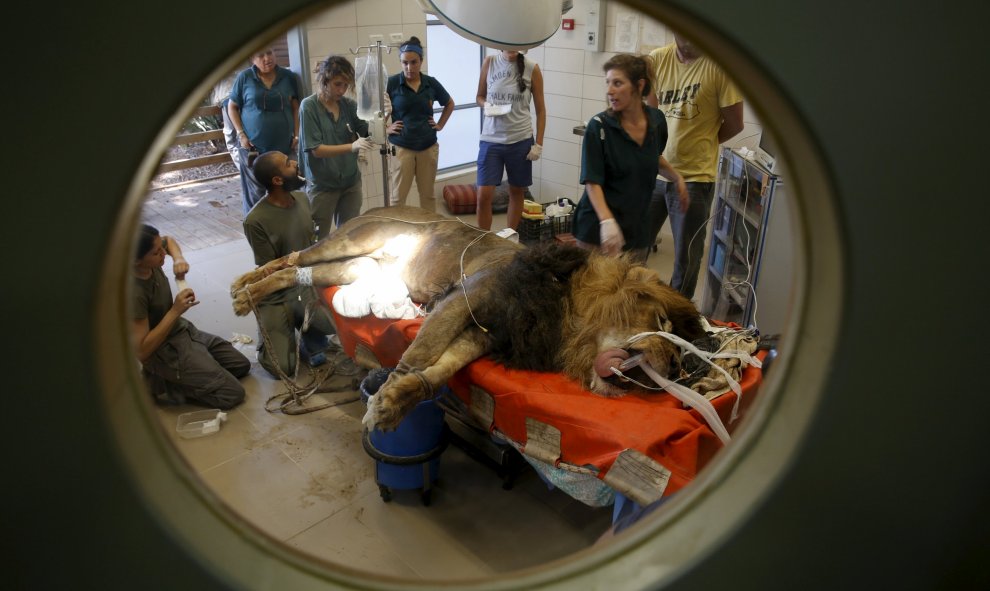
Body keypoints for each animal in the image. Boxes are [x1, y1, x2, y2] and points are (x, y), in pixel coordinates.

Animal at [232, 207, 704, 430]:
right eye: (661, 321)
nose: (674, 367)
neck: (566, 312)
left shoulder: (484, 335)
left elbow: (438, 370)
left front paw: (395, 402)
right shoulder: (466, 296)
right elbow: (418, 353)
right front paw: (381, 400)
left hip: (357, 268)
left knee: (297, 272)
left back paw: (250, 293)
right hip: (351, 241)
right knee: (295, 256)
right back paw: (242, 290)